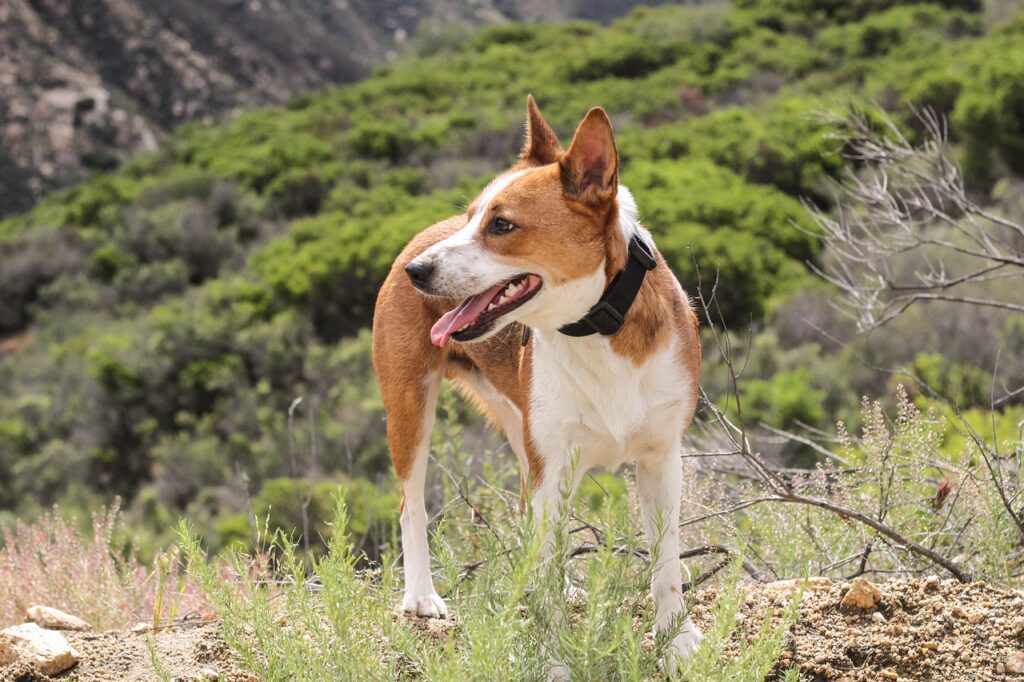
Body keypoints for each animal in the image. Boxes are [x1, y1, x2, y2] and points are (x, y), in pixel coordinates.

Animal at [374, 94, 704, 659]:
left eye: (502, 225)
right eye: (472, 217)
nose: (418, 272)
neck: (596, 326)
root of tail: (418, 236)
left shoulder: (661, 459)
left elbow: (666, 563)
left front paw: (676, 639)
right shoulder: (553, 466)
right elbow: (547, 577)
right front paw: (554, 656)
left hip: (521, 433)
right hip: (410, 407)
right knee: (410, 503)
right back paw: (420, 595)